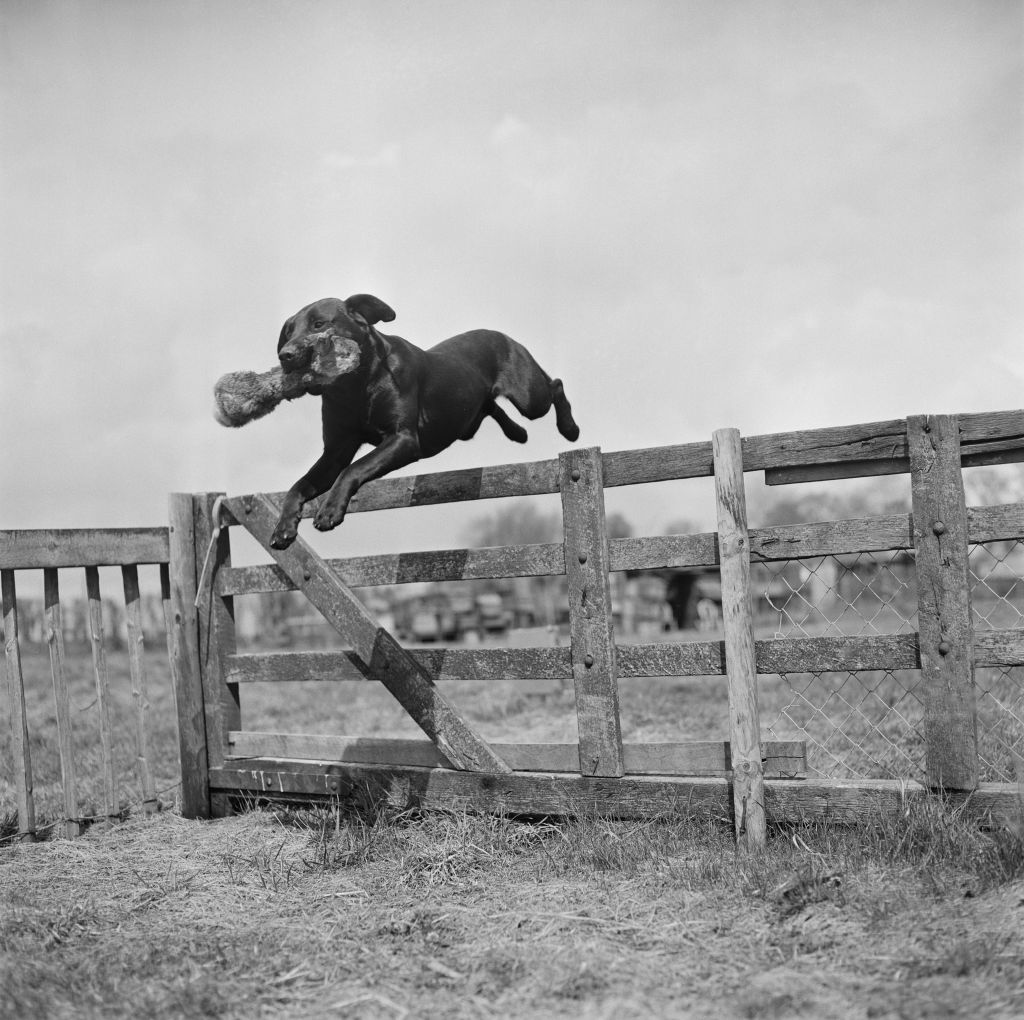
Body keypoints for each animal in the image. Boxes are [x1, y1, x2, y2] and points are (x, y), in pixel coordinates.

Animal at [268, 292, 581, 548]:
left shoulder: (403, 439)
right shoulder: (335, 451)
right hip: (469, 416)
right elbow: (298, 485)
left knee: (555, 385)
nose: (285, 355)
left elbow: (353, 468)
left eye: (319, 324)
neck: (356, 387)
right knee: (492, 407)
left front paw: (329, 511)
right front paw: (282, 528)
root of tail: (504, 336)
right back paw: (518, 433)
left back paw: (570, 429)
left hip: (531, 397)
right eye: (288, 332)